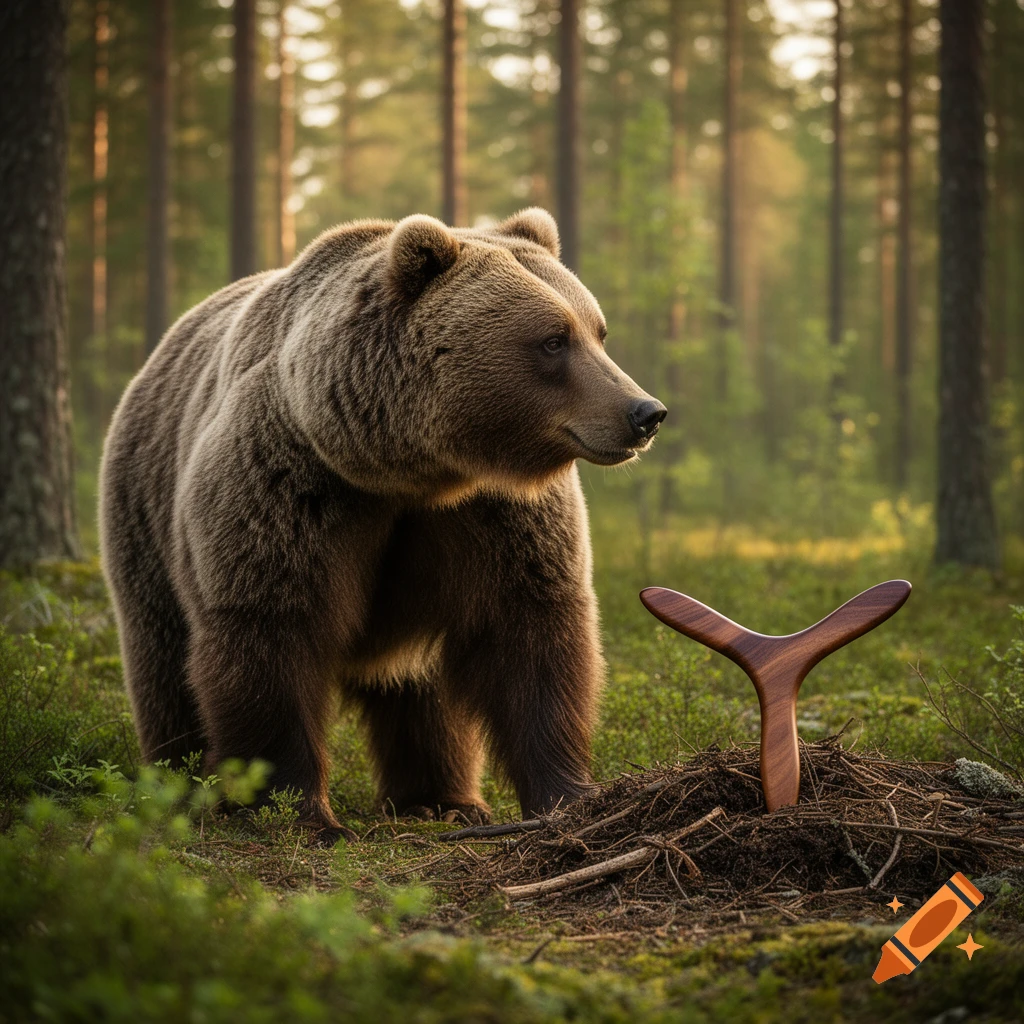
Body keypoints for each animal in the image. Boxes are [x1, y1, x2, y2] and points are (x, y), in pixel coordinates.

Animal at [99, 208, 666, 839]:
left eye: (597, 331)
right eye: (552, 339)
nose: (645, 412)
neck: (411, 472)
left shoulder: (494, 516)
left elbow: (533, 635)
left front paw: (568, 795)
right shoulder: (290, 486)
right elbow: (270, 633)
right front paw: (299, 814)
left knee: (422, 691)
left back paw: (442, 799)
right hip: (146, 508)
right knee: (163, 657)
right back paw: (176, 784)